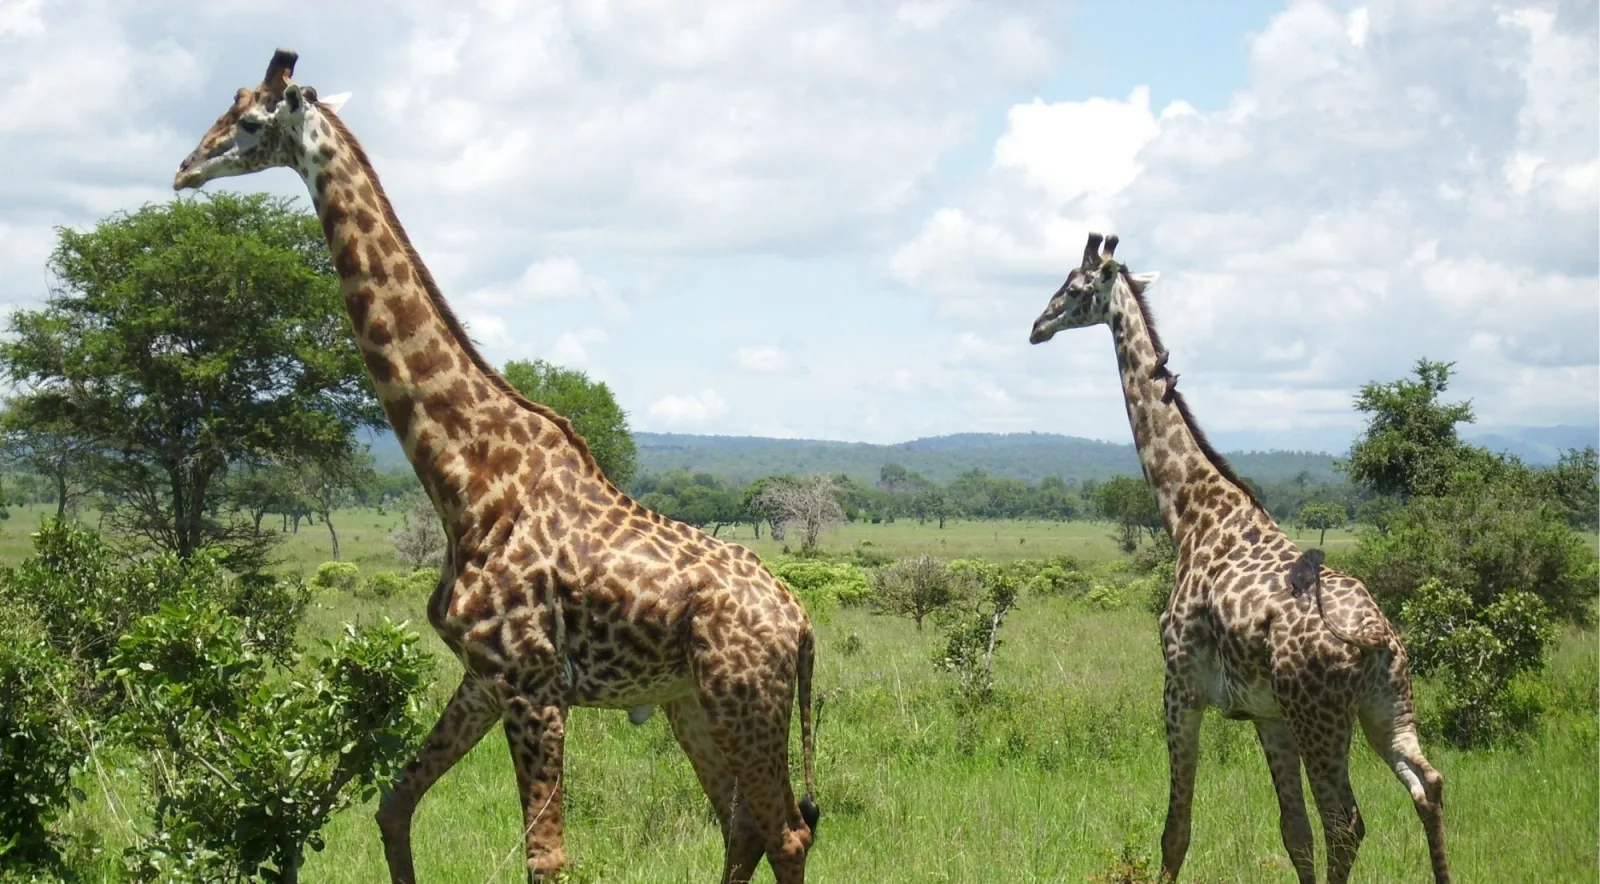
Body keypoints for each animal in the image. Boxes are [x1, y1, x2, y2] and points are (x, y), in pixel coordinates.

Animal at [173, 49, 820, 884]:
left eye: (250, 122)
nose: (185, 170)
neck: (466, 479)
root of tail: (801, 623)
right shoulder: (484, 676)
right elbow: (393, 804)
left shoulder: (534, 684)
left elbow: (545, 858)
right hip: (693, 703)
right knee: (743, 829)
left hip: (745, 702)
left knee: (787, 832)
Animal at [1027, 233, 1450, 884]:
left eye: (1073, 289)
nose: (1037, 326)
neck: (1189, 513)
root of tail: (1379, 638)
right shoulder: (1267, 715)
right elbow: (1293, 833)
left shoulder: (1180, 687)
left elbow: (1175, 831)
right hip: (1388, 708)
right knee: (1426, 786)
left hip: (1321, 717)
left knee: (1347, 821)